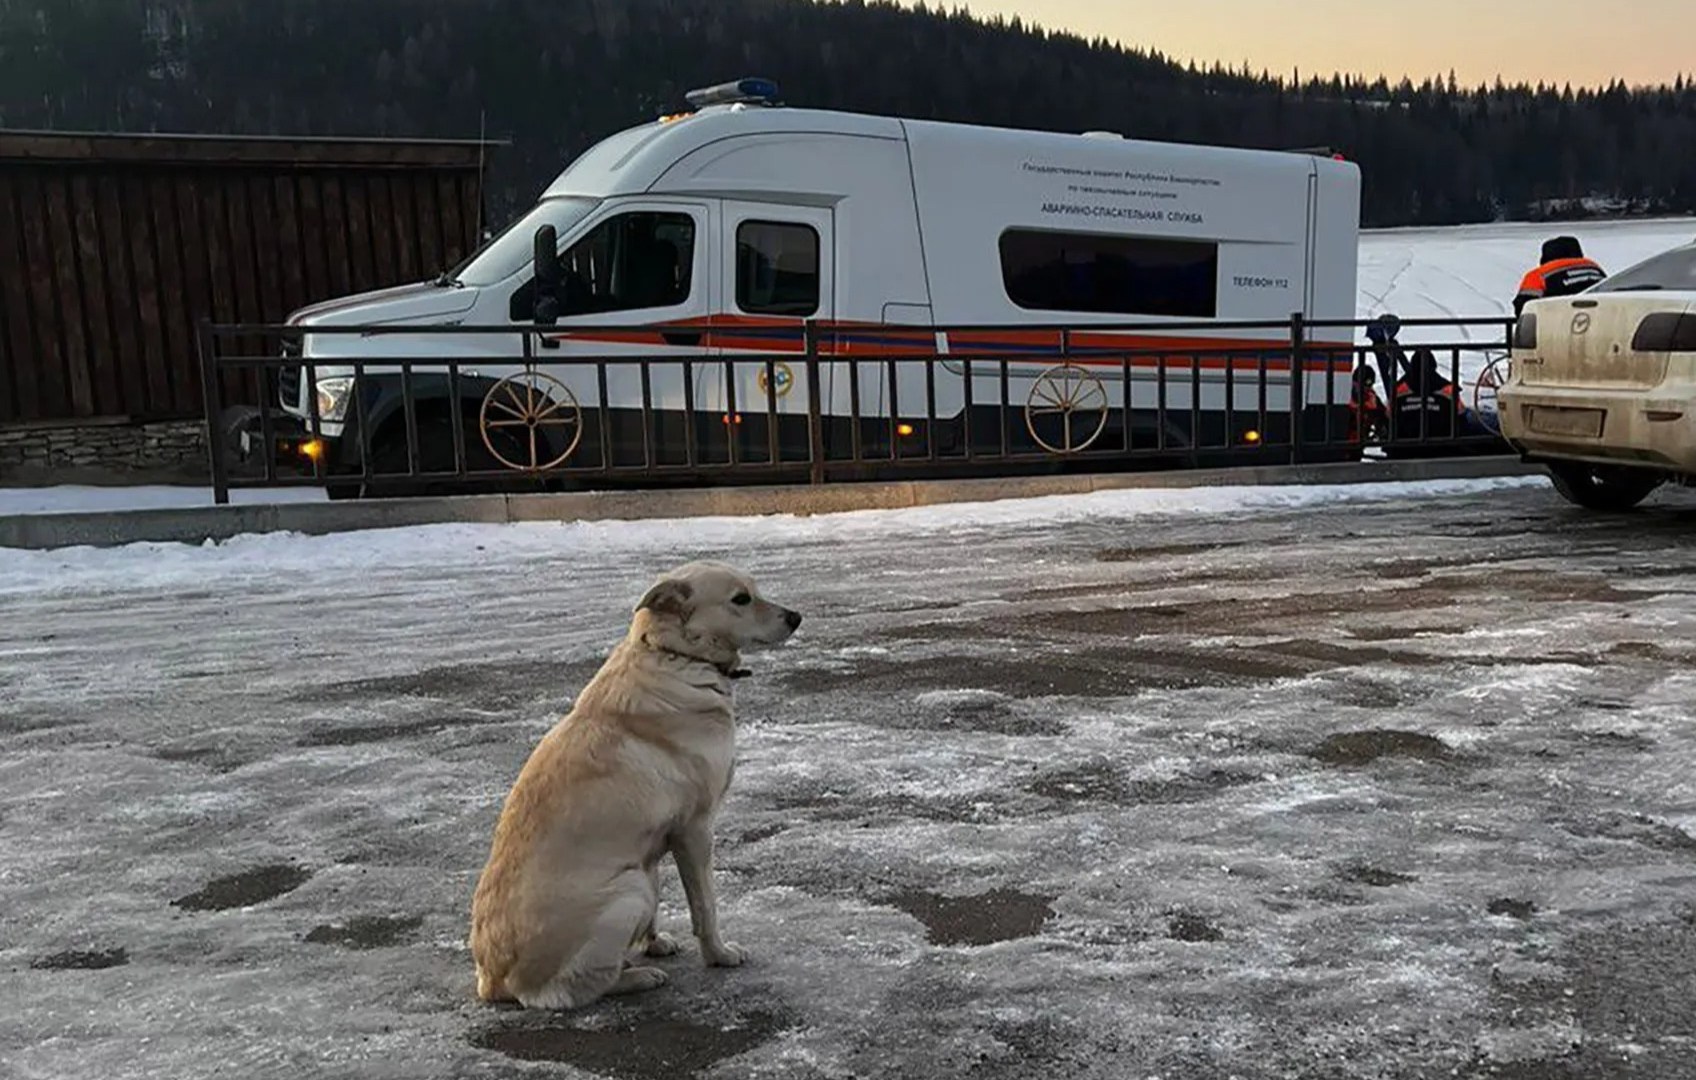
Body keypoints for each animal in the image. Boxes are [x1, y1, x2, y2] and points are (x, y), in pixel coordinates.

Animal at [468, 559, 803, 1003]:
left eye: (755, 590)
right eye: (740, 599)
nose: (796, 617)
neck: (675, 654)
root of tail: (493, 981)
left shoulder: (655, 844)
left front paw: (654, 943)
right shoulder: (696, 830)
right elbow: (706, 907)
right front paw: (718, 954)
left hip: (639, 877)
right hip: (630, 890)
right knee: (570, 991)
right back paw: (636, 977)